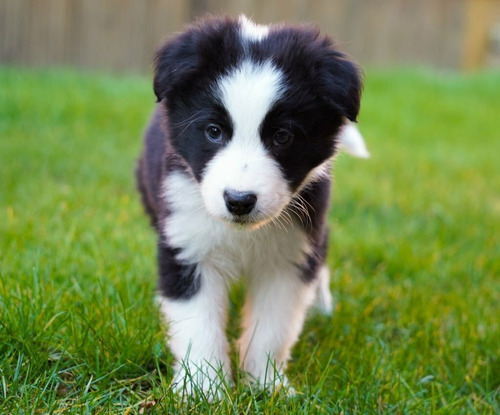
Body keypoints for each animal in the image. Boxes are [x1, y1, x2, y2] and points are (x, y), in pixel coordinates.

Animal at [137, 13, 368, 396]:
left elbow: (273, 327)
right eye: (213, 131)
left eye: (283, 136)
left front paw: (266, 385)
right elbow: (198, 322)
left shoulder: (290, 253)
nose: (239, 201)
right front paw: (203, 390)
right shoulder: (186, 245)